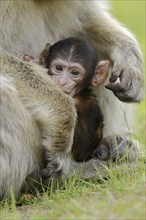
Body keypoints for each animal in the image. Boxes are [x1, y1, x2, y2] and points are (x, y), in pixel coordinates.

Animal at [0, 0, 144, 199]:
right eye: (58, 68)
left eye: (75, 72)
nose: (63, 82)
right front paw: (63, 119)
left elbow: (85, 20)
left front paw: (128, 53)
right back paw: (71, 174)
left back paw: (115, 146)